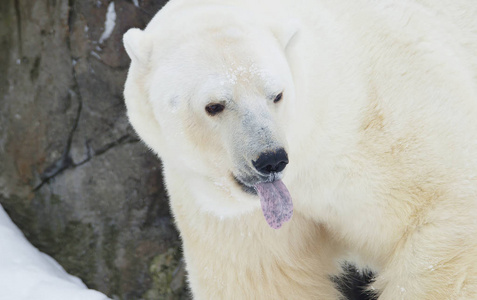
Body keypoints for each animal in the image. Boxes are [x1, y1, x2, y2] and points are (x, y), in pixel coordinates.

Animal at [122, 0, 476, 298]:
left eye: (276, 94)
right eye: (214, 106)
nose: (270, 160)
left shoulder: (391, 127)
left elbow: (445, 220)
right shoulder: (234, 216)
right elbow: (265, 279)